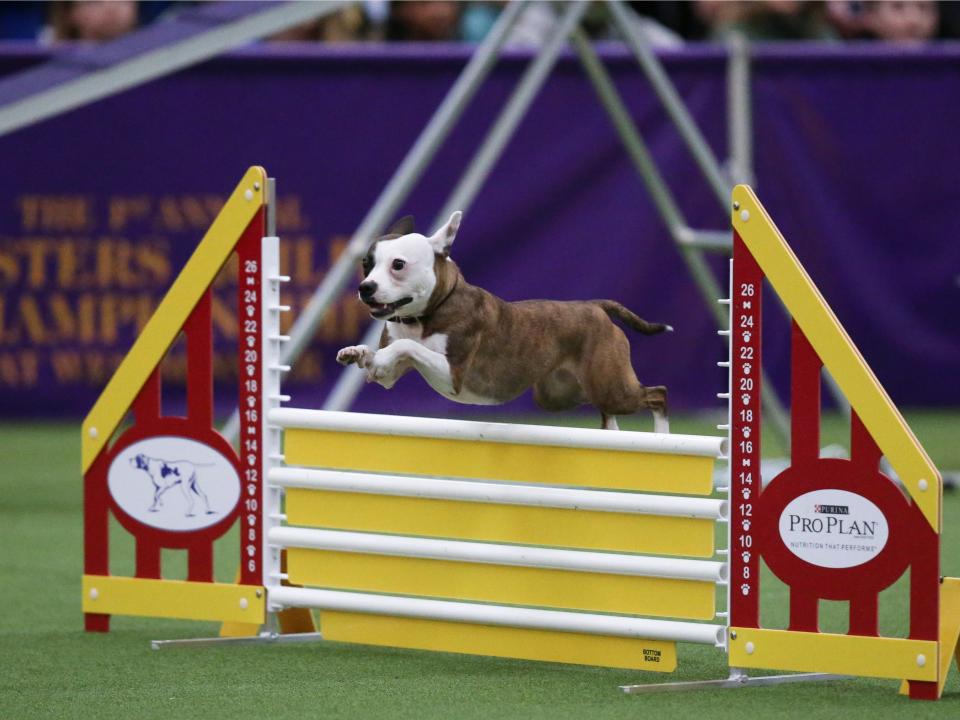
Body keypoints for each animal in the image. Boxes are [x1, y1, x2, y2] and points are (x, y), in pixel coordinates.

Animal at [338, 211, 676, 430]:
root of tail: (594, 306)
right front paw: (357, 352)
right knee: (610, 411)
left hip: (611, 386)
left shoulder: (453, 374)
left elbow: (407, 347)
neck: (424, 316)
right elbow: (384, 358)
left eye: (398, 265)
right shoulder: (392, 377)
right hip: (563, 393)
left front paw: (382, 354)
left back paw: (661, 439)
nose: (366, 287)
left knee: (658, 394)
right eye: (366, 264)